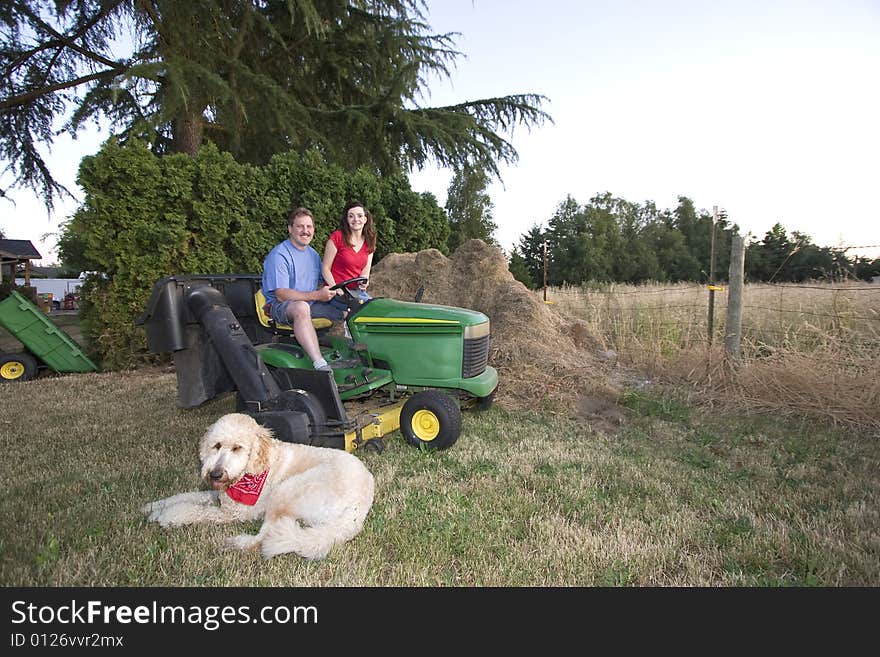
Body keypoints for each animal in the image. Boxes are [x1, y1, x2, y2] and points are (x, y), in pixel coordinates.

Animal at [141, 412, 374, 556]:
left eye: (237, 447)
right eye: (217, 445)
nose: (215, 475)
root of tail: (357, 511)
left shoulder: (234, 513)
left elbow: (195, 511)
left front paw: (166, 516)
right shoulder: (217, 495)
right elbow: (184, 496)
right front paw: (152, 507)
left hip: (285, 490)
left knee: (263, 538)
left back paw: (235, 543)